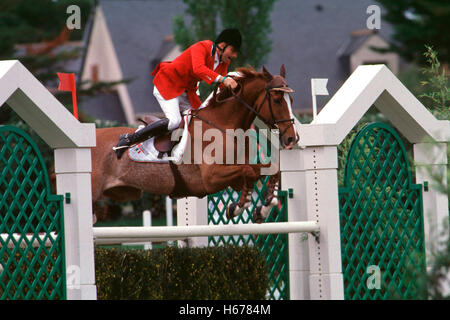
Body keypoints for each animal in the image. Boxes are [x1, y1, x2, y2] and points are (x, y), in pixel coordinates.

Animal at [90, 65, 298, 222]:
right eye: (277, 100)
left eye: (291, 99)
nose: (292, 138)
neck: (224, 124)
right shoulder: (211, 178)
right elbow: (250, 170)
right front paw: (241, 206)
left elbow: (268, 170)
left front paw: (260, 207)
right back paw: (123, 142)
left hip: (123, 193)